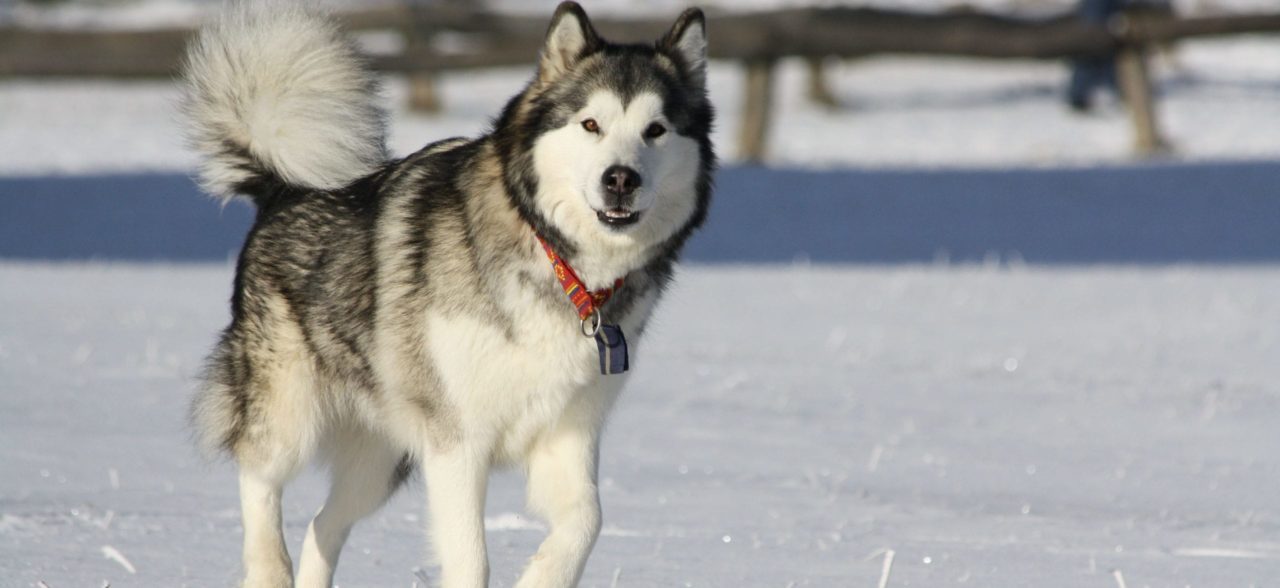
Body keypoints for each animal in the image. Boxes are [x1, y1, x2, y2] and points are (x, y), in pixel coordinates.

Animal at [179, 1, 716, 588]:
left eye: (656, 130)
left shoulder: (568, 432)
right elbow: (471, 558)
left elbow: (588, 521)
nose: (621, 179)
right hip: (290, 414)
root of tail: (283, 189)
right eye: (591, 124)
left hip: (381, 461)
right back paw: (268, 568)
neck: (560, 264)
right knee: (259, 477)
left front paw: (539, 577)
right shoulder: (458, 442)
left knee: (324, 525)